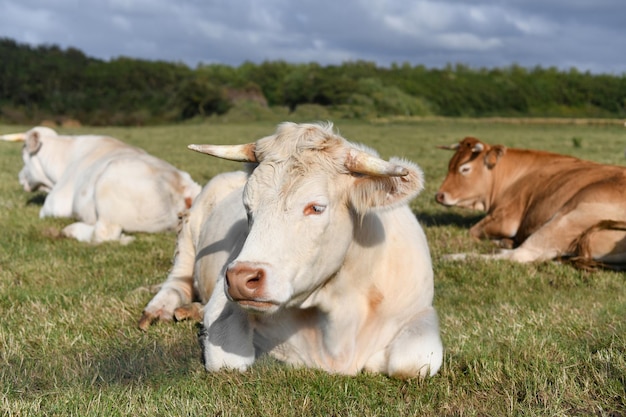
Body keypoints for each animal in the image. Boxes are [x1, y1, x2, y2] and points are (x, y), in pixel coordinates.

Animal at [0, 127, 200, 244]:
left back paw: (72, 230)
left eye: (23, 153)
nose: (19, 177)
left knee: (102, 234)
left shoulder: (54, 205)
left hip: (108, 189)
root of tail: (183, 186)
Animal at [140, 122, 444, 378]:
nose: (240, 279)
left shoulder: (419, 312)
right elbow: (230, 361)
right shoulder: (221, 309)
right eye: (247, 207)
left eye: (316, 207)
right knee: (177, 279)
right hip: (189, 231)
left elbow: (414, 362)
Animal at [434, 135, 624, 268]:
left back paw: (453, 257)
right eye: (449, 165)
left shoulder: (505, 217)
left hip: (566, 219)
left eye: (465, 169)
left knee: (519, 255)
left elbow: (472, 231)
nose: (439, 195)